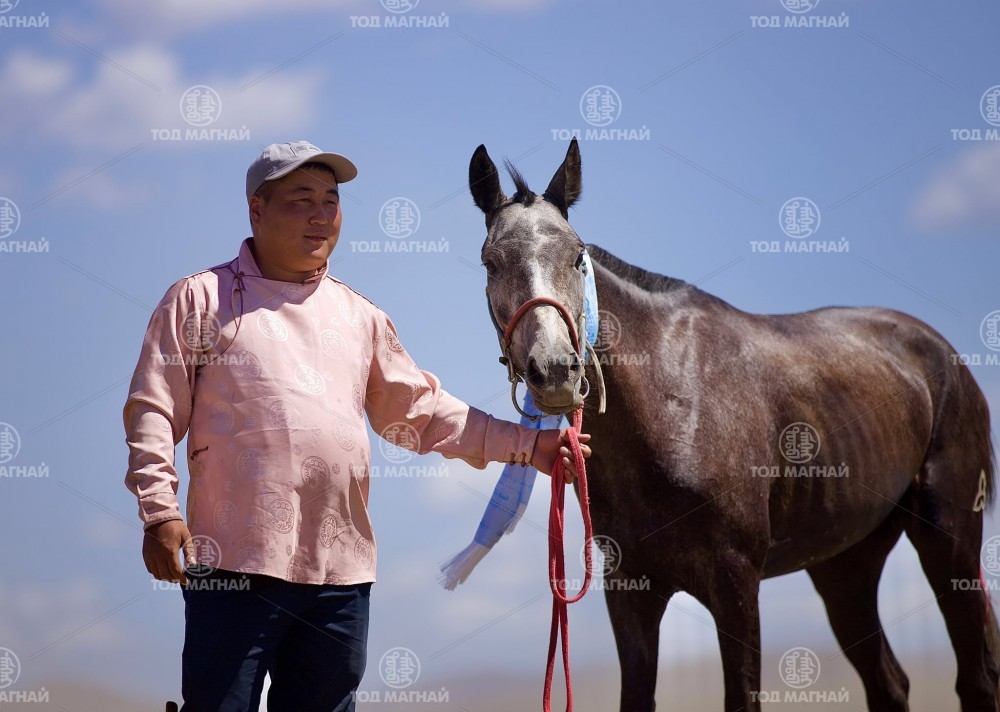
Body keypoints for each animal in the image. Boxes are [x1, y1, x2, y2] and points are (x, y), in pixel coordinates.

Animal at [468, 138, 999, 711]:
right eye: (491, 262)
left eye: (577, 256)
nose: (555, 370)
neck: (675, 403)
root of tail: (944, 356)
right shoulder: (631, 590)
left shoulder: (736, 582)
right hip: (845, 567)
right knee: (890, 682)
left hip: (950, 542)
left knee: (975, 678)